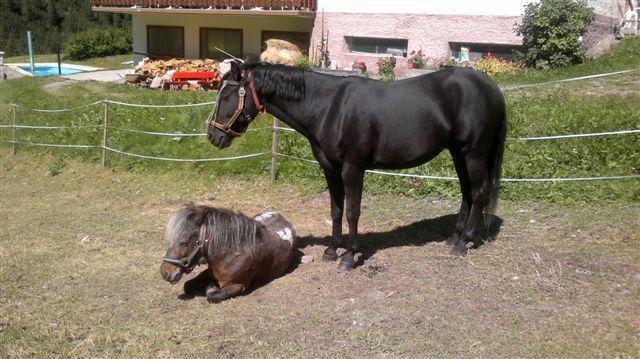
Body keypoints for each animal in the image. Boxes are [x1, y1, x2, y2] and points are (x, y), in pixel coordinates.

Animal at [162, 205, 298, 304]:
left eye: (183, 242)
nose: (165, 273)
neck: (230, 254)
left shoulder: (238, 285)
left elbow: (213, 295)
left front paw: (210, 287)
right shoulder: (209, 273)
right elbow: (188, 285)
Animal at [208, 62, 508, 272]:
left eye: (228, 96)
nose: (213, 136)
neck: (329, 108)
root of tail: (491, 87)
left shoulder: (352, 168)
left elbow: (352, 212)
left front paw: (350, 256)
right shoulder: (329, 168)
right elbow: (336, 209)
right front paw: (332, 250)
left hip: (474, 154)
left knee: (479, 193)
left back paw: (463, 242)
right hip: (458, 153)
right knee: (467, 193)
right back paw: (454, 236)